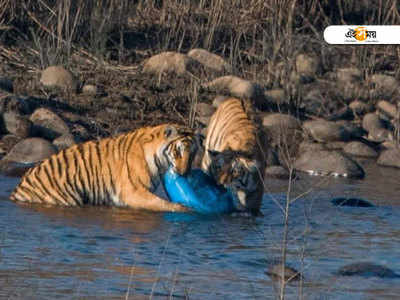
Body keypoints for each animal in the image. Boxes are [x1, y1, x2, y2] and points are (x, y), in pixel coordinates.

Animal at [11, 123, 200, 212]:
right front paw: (185, 209)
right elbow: (160, 203)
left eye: (193, 155)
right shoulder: (133, 191)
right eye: (178, 152)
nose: (184, 173)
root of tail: (17, 191)